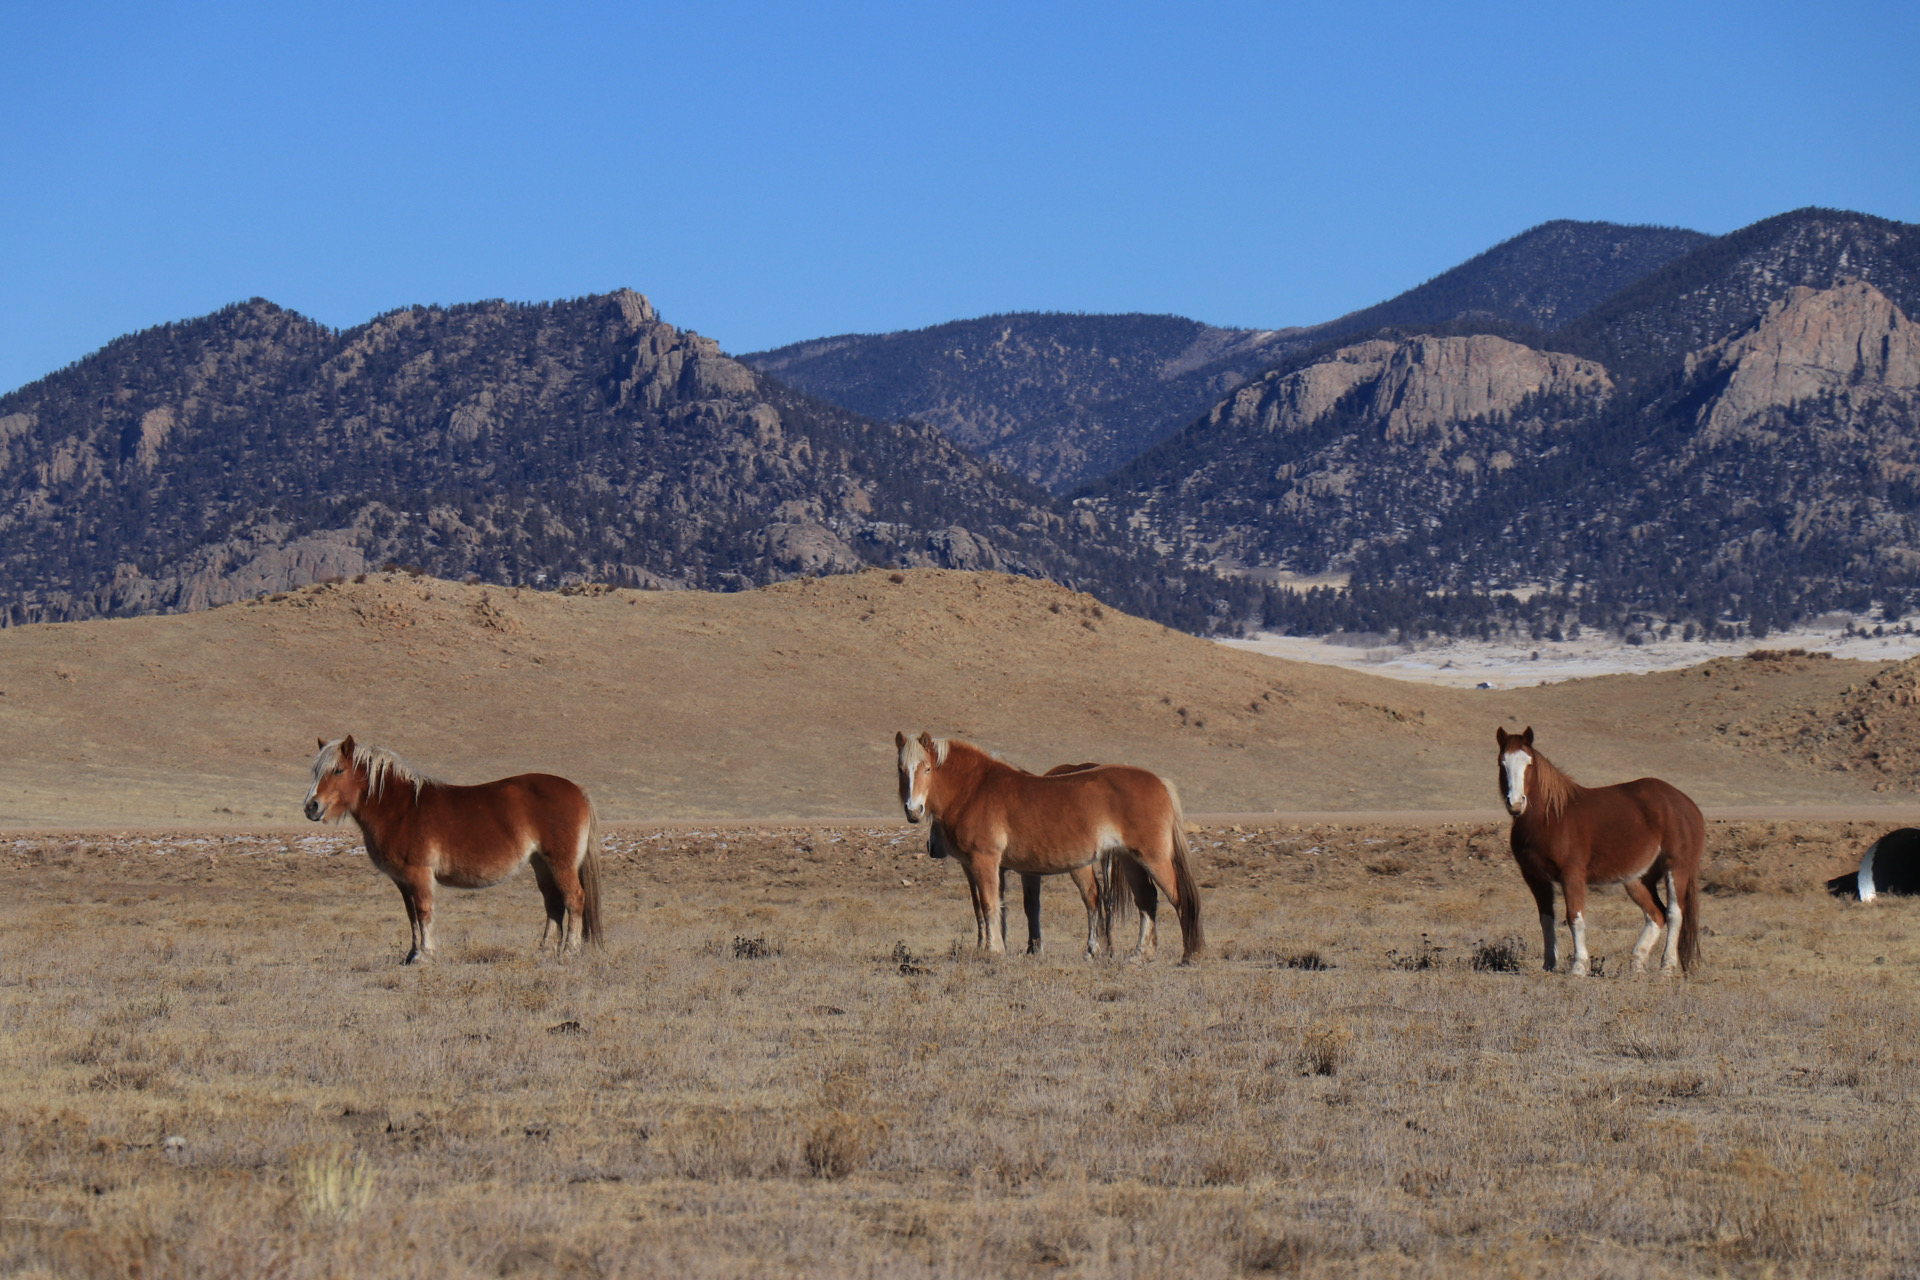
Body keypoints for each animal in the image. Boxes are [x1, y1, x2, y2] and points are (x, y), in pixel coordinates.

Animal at [303, 736, 599, 967]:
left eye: (338, 770)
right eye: (315, 771)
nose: (310, 807)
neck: (400, 809)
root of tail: (577, 790)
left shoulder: (419, 873)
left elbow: (424, 911)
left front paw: (425, 955)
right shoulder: (402, 880)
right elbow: (411, 915)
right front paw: (411, 954)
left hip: (561, 864)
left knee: (574, 899)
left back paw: (569, 951)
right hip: (541, 865)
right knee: (553, 904)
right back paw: (544, 951)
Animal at [894, 729, 1198, 959]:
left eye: (927, 768)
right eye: (901, 770)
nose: (913, 810)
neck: (975, 788)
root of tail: (1159, 782)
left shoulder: (985, 861)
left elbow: (990, 905)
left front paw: (994, 951)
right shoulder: (990, 867)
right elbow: (992, 907)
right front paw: (999, 947)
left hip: (1153, 858)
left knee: (1178, 897)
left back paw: (1188, 955)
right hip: (1130, 859)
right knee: (1146, 899)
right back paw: (1140, 954)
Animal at [1489, 725, 1704, 974]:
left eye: (1529, 763)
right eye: (1501, 763)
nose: (1515, 803)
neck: (1549, 818)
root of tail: (1687, 804)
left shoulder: (1572, 875)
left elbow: (1575, 917)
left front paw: (1578, 967)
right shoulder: (1535, 877)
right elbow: (1546, 918)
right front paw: (1549, 964)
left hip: (1677, 868)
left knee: (1674, 913)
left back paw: (1666, 967)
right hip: (1639, 879)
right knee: (1656, 915)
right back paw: (1636, 964)